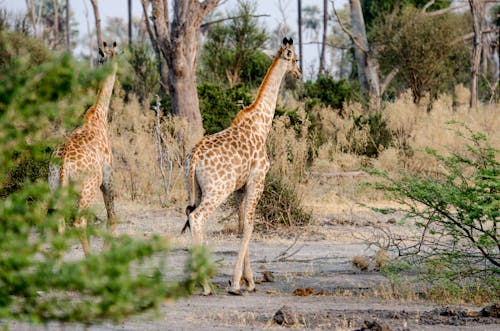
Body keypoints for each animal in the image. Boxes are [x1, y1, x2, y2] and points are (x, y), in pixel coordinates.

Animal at [49, 41, 119, 256]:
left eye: (102, 55)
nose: (103, 60)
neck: (99, 115)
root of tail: (63, 163)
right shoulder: (108, 176)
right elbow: (112, 217)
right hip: (89, 186)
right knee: (79, 221)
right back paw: (89, 260)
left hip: (54, 185)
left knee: (59, 220)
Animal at [183, 37, 300, 294]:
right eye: (296, 58)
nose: (299, 74)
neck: (261, 123)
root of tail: (194, 158)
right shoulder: (258, 180)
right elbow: (249, 226)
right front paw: (238, 283)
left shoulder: (240, 188)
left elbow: (240, 225)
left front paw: (247, 280)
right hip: (217, 190)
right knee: (197, 218)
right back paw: (204, 284)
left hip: (195, 189)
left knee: (190, 214)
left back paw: (196, 279)